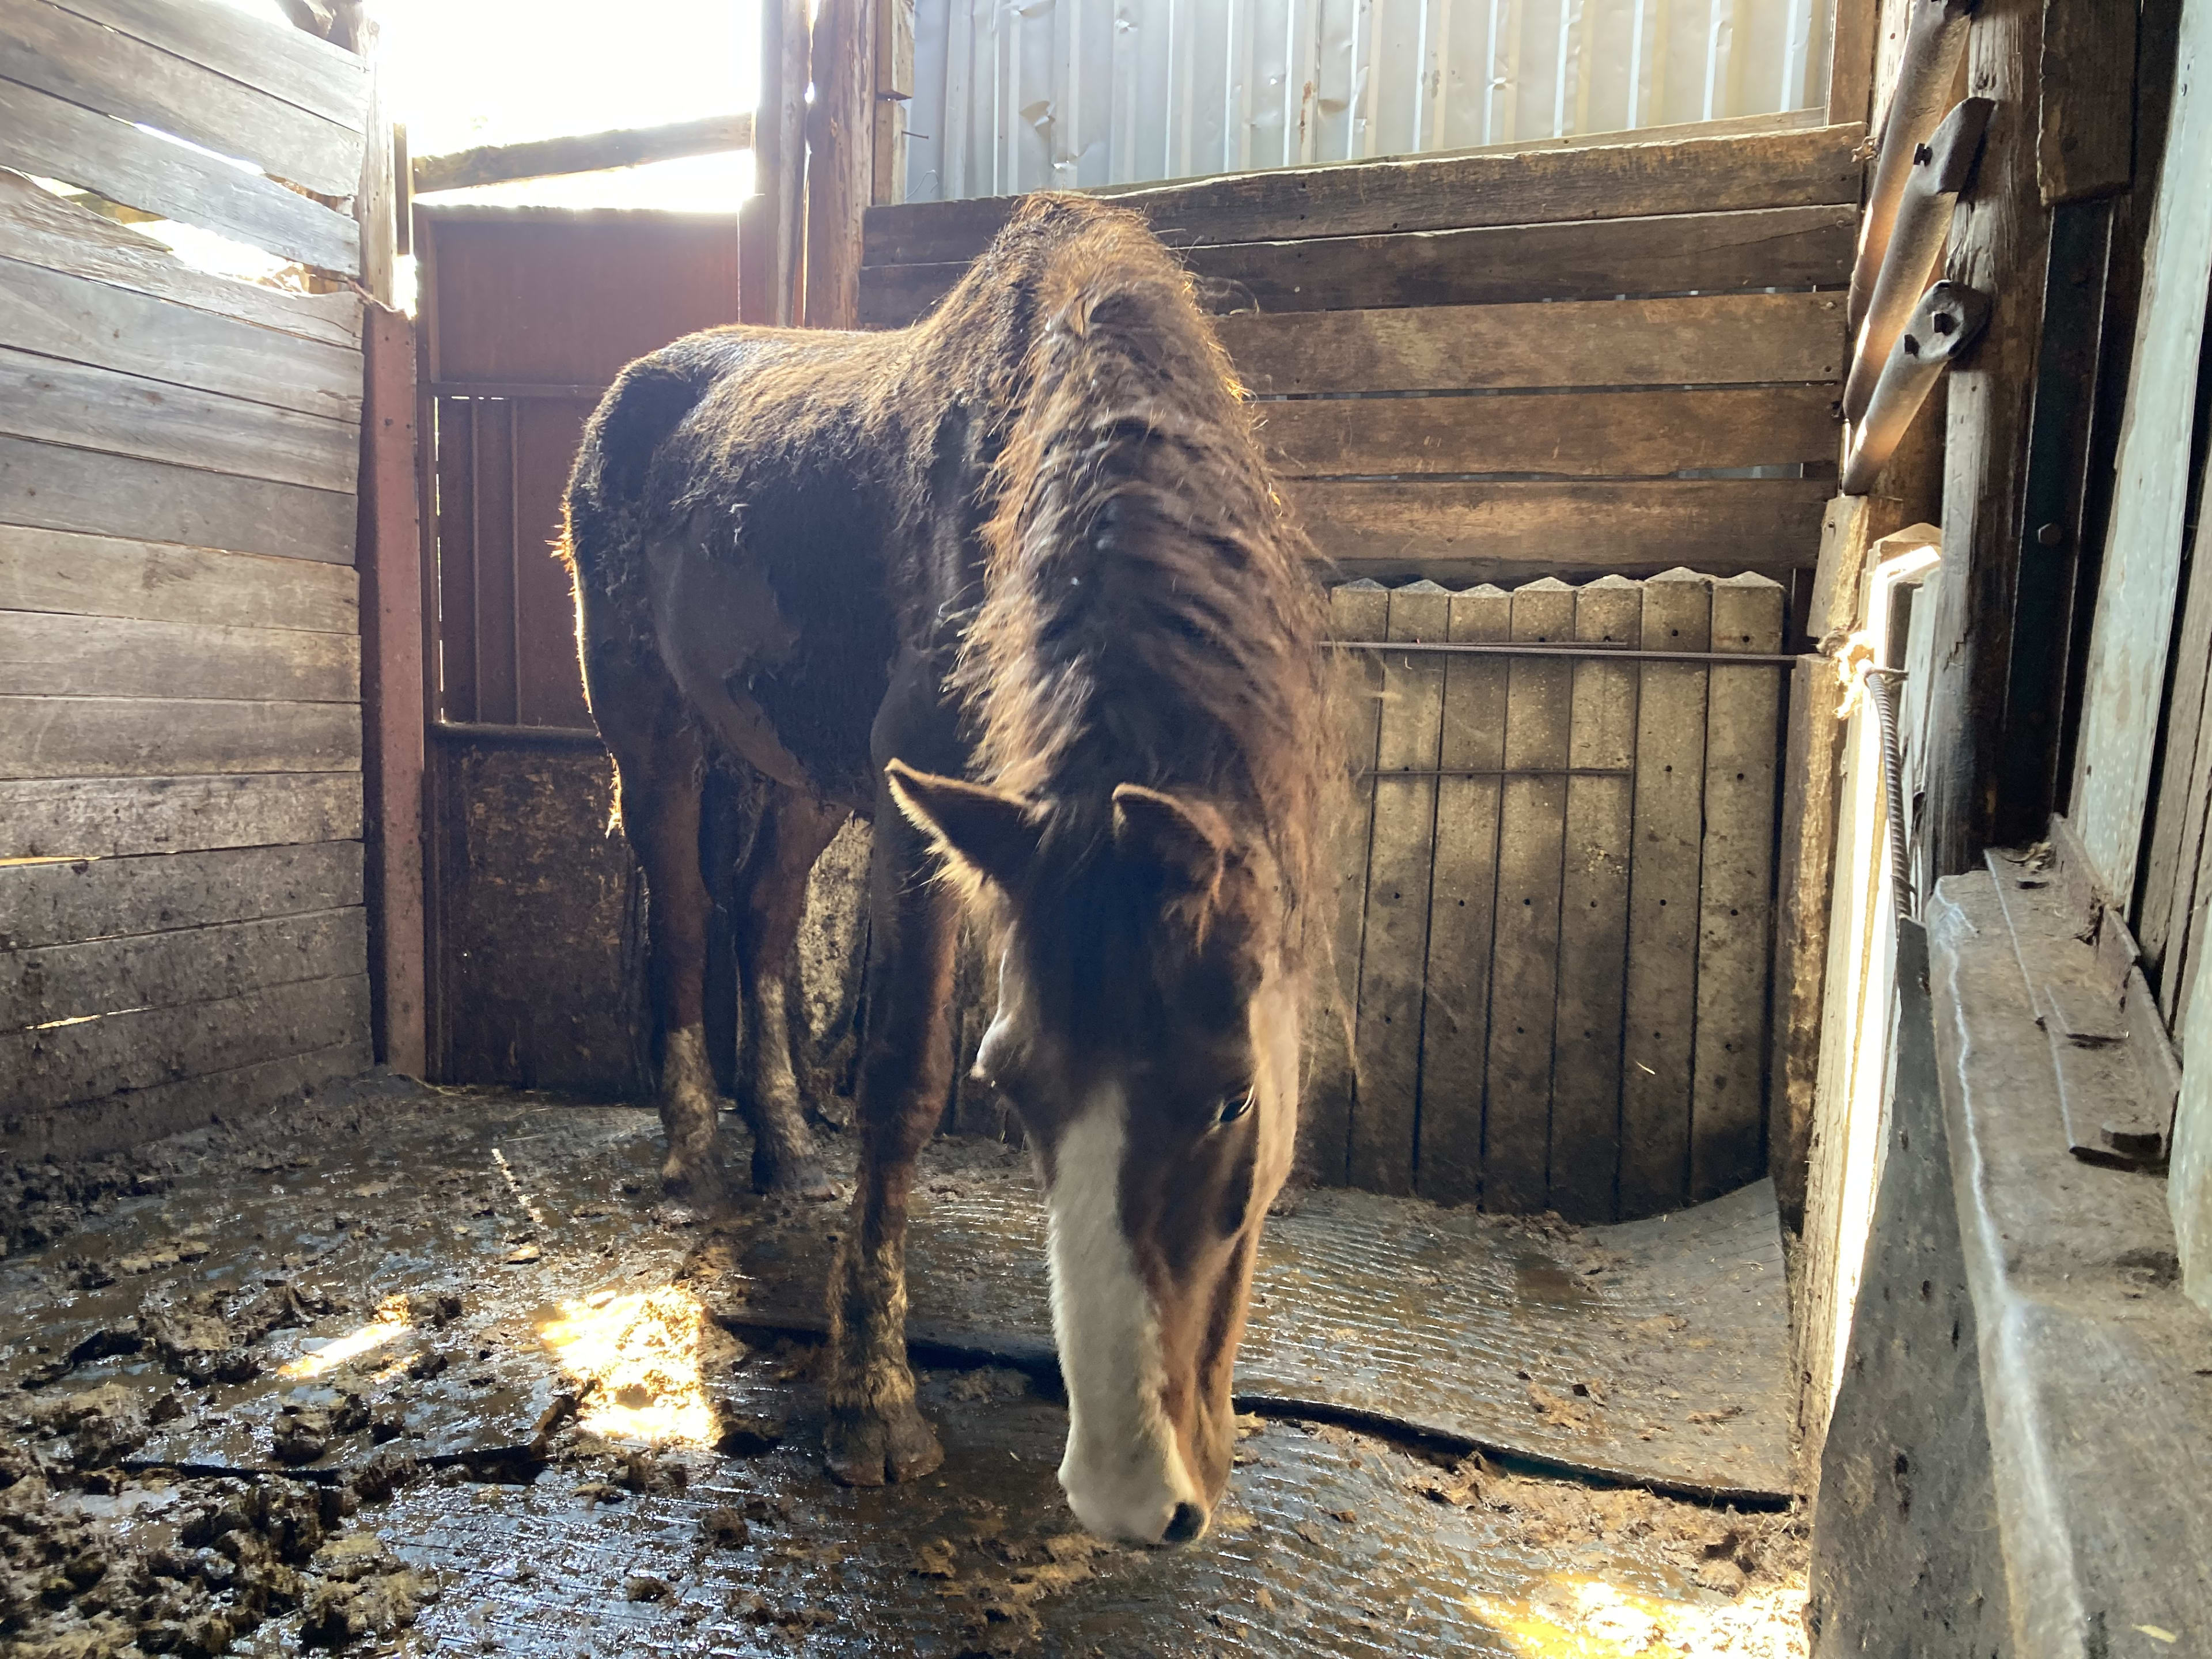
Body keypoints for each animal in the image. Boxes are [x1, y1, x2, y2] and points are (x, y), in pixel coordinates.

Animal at [562, 191, 1336, 1548]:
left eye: (1237, 1099)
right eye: (1010, 1088)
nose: (1134, 1497)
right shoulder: (923, 824)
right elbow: (903, 1082)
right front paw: (873, 1407)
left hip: (808, 774)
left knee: (764, 911)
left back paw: (784, 1146)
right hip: (651, 735)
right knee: (688, 914)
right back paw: (698, 1160)